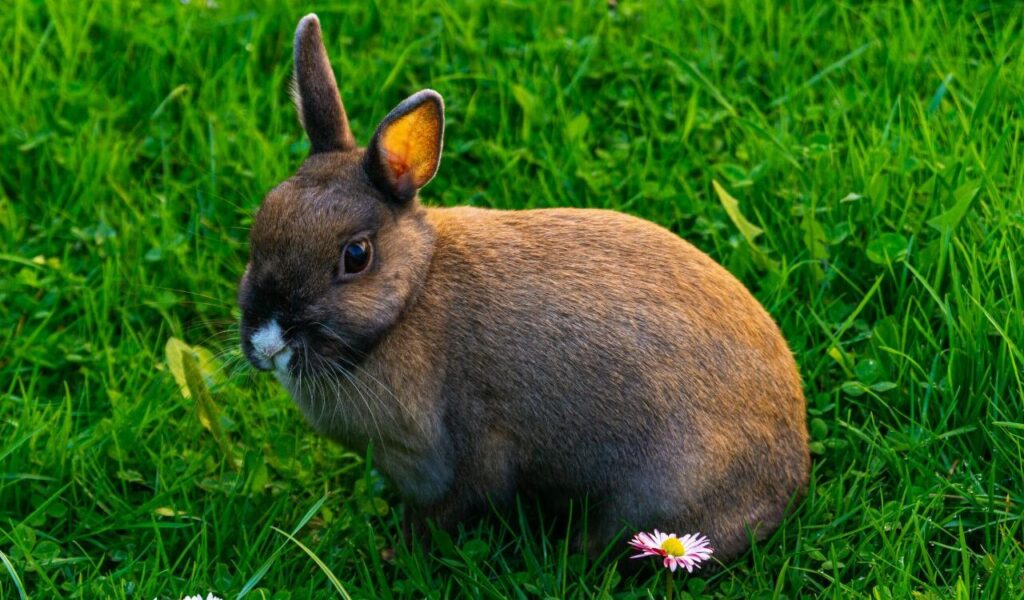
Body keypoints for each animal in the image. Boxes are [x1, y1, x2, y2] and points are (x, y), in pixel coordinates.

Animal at [238, 13, 809, 563]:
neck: (413, 296)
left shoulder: (470, 452)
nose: (267, 344)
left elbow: (455, 505)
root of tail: (791, 473)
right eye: (260, 223)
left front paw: (397, 552)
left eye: (355, 256)